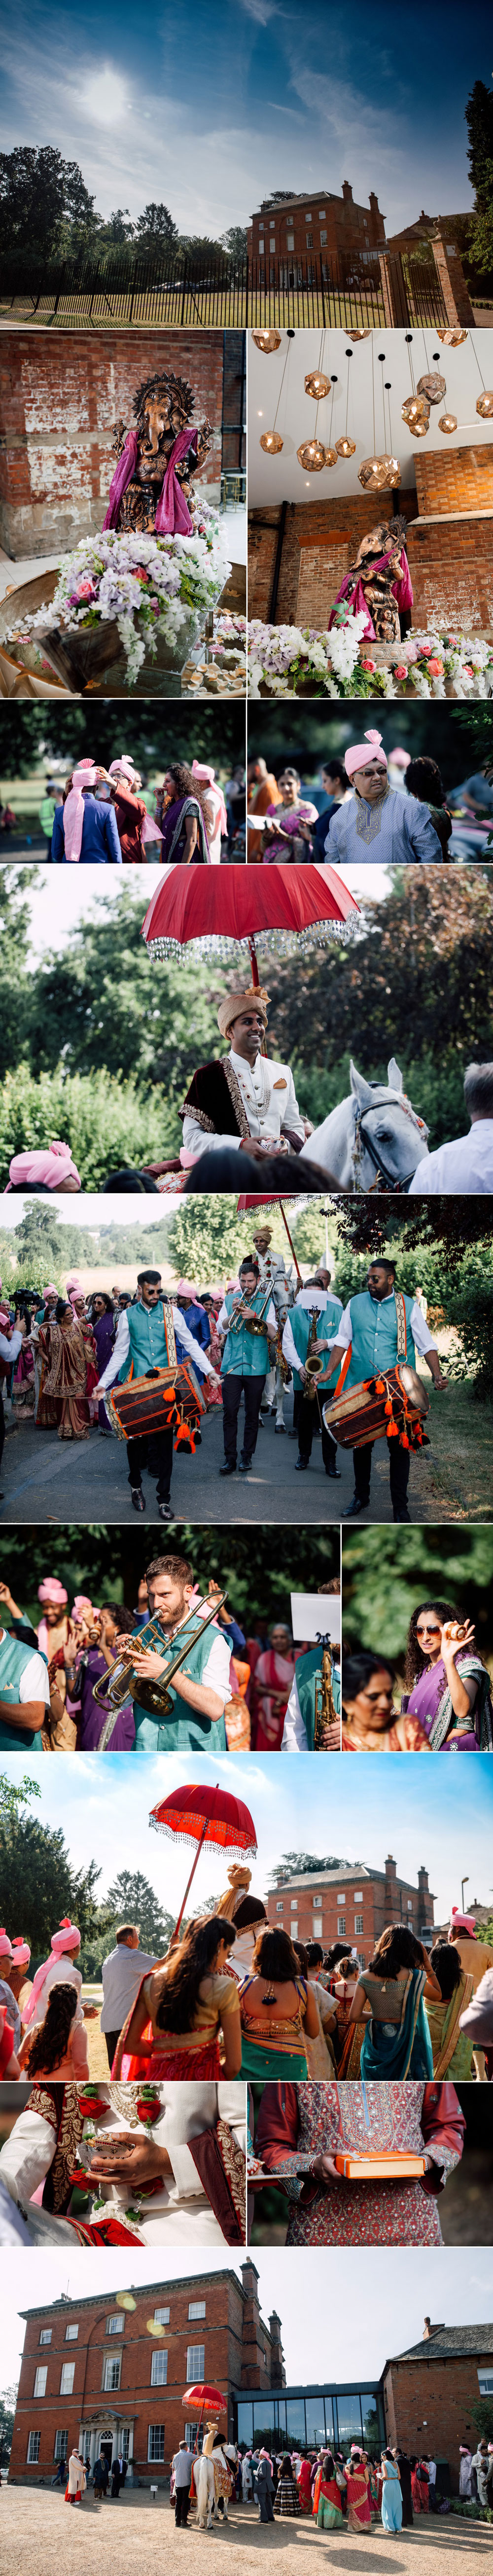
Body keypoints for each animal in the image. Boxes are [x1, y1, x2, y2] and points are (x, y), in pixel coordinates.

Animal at [192, 2442, 239, 2524]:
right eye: (238, 2453)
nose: (238, 2462)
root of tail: (204, 2459)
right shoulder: (227, 2487)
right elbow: (225, 2500)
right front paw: (225, 2516)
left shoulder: (218, 2487)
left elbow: (216, 2500)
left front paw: (216, 2515)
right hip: (212, 2486)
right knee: (210, 2502)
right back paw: (209, 2523)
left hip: (200, 2485)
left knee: (201, 2500)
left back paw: (202, 2522)